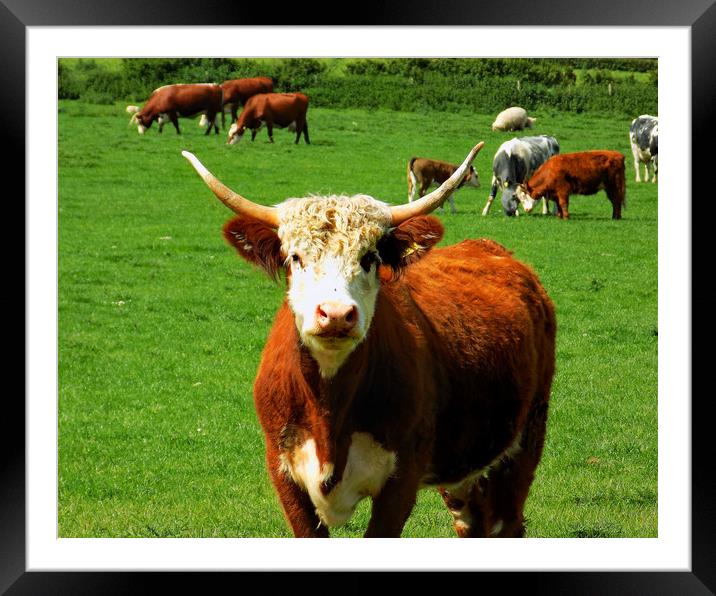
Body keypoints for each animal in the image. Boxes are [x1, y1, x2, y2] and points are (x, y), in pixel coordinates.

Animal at [182, 144, 556, 540]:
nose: (335, 314)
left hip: (525, 440)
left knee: (505, 520)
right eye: (295, 257)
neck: (329, 408)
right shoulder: (284, 473)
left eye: (369, 257)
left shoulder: (401, 480)